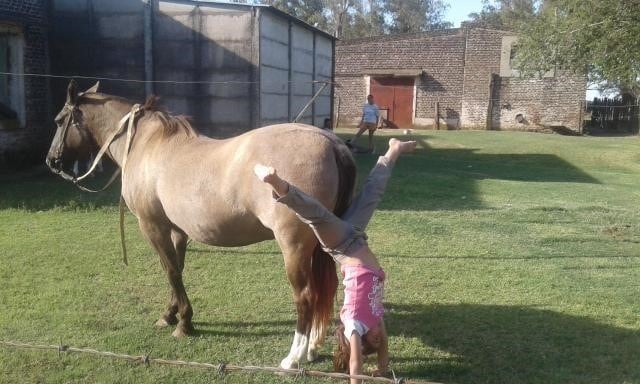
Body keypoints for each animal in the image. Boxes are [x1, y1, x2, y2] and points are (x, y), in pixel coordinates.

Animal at [45, 79, 356, 368]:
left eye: (59, 120)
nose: (51, 161)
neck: (147, 145)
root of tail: (331, 143)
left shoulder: (152, 226)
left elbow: (170, 270)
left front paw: (184, 323)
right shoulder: (177, 230)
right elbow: (177, 269)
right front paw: (170, 314)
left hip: (294, 246)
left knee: (305, 296)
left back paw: (294, 357)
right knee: (323, 291)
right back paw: (312, 348)